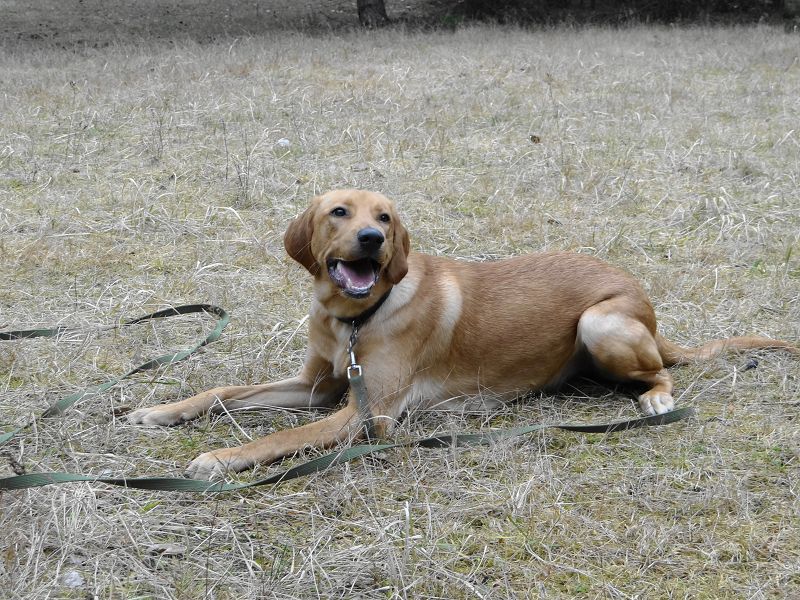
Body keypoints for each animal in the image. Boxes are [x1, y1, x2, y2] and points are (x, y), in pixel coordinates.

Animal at [129, 189, 798, 479]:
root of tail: (647, 305)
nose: (372, 239)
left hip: (601, 321)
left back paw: (655, 399)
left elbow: (275, 439)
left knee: (659, 371)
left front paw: (219, 457)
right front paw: (157, 410)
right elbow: (222, 393)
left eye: (385, 217)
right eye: (339, 212)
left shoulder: (362, 413)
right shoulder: (316, 386)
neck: (354, 319)